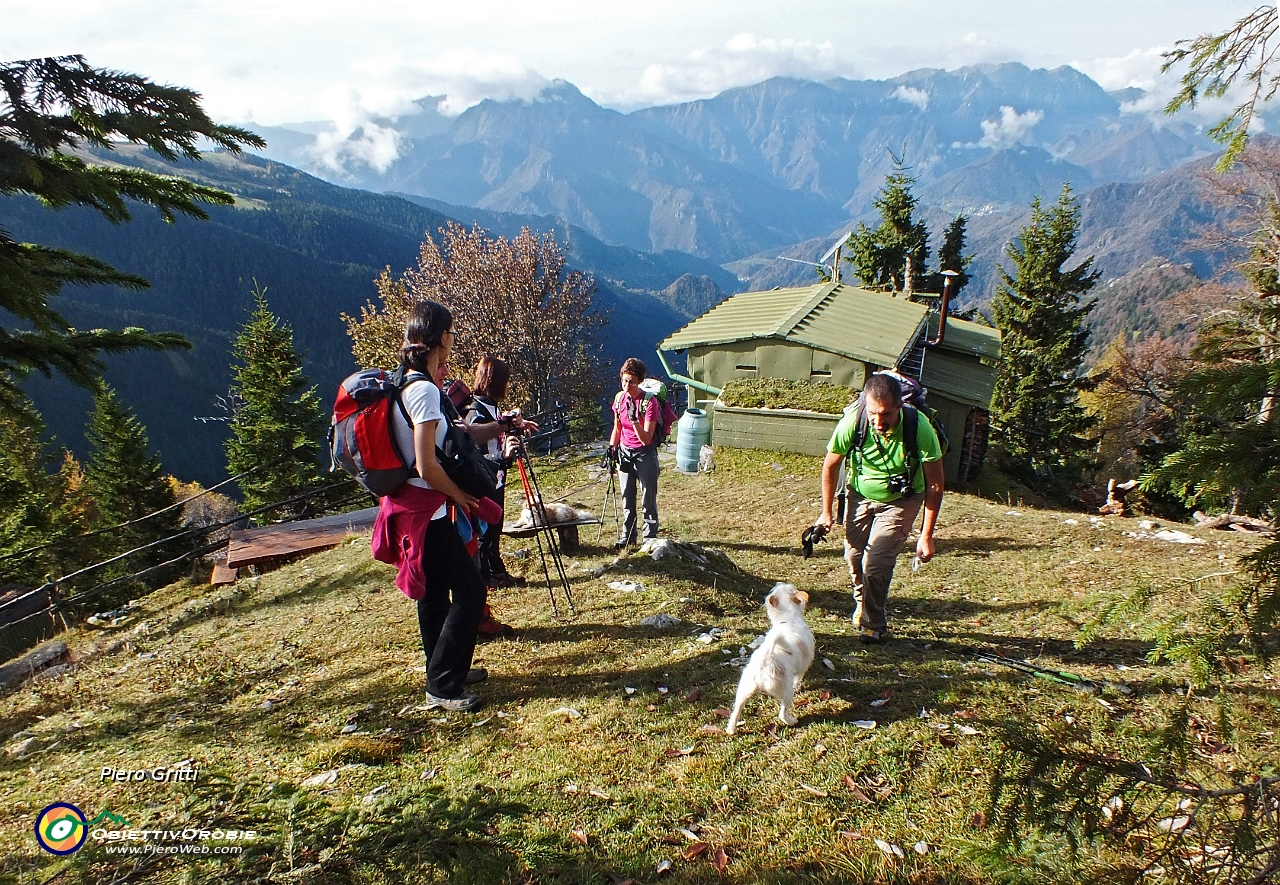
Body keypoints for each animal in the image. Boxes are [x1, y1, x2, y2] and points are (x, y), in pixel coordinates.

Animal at [727, 584, 814, 737]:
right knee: (782, 714)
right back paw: (792, 721)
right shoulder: (802, 667)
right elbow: (798, 678)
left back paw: (731, 729)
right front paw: (798, 686)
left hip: (743, 691)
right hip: (786, 692)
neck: (788, 619)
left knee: (736, 710)